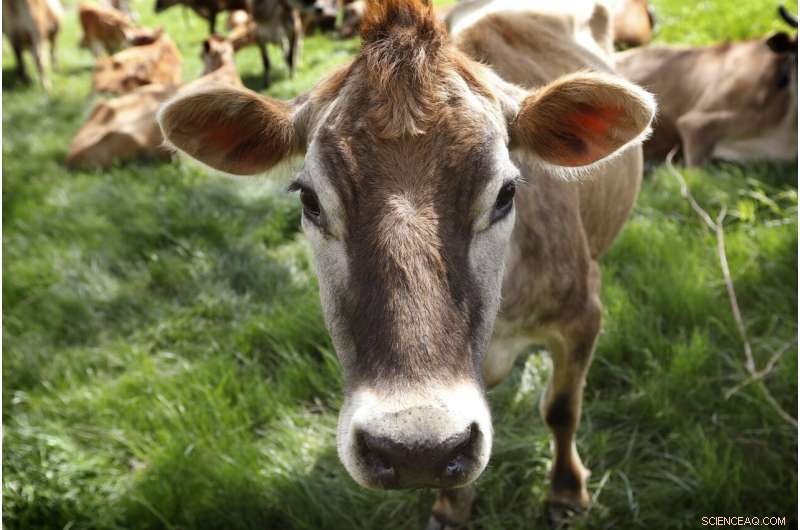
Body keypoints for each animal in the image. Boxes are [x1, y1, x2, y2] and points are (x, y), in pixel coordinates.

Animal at [157, 0, 655, 527]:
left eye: (506, 192)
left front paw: (565, 492)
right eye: (310, 200)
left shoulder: (583, 314)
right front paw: (451, 507)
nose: (417, 451)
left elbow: (561, 408)